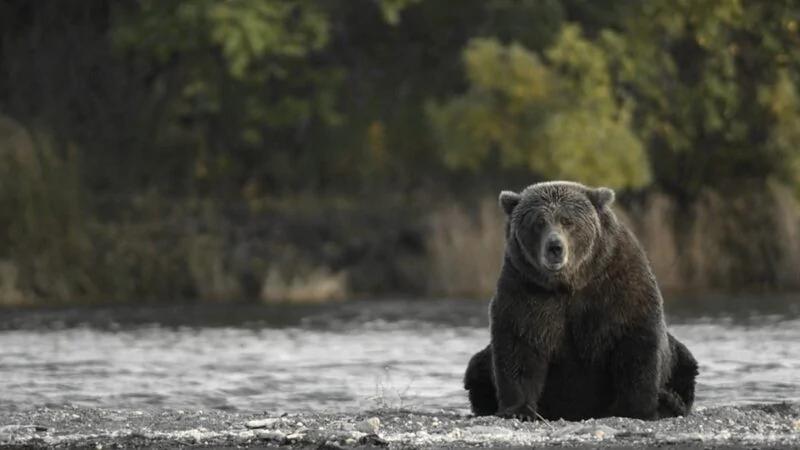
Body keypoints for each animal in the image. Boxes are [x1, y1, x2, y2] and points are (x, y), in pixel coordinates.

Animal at [463, 181, 698, 421]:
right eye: (538, 222)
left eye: (568, 221)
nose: (555, 247)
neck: (570, 282)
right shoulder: (526, 289)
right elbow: (520, 344)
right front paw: (519, 410)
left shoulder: (617, 284)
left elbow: (635, 343)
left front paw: (637, 409)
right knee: (476, 368)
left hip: (679, 359)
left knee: (685, 365)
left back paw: (670, 401)